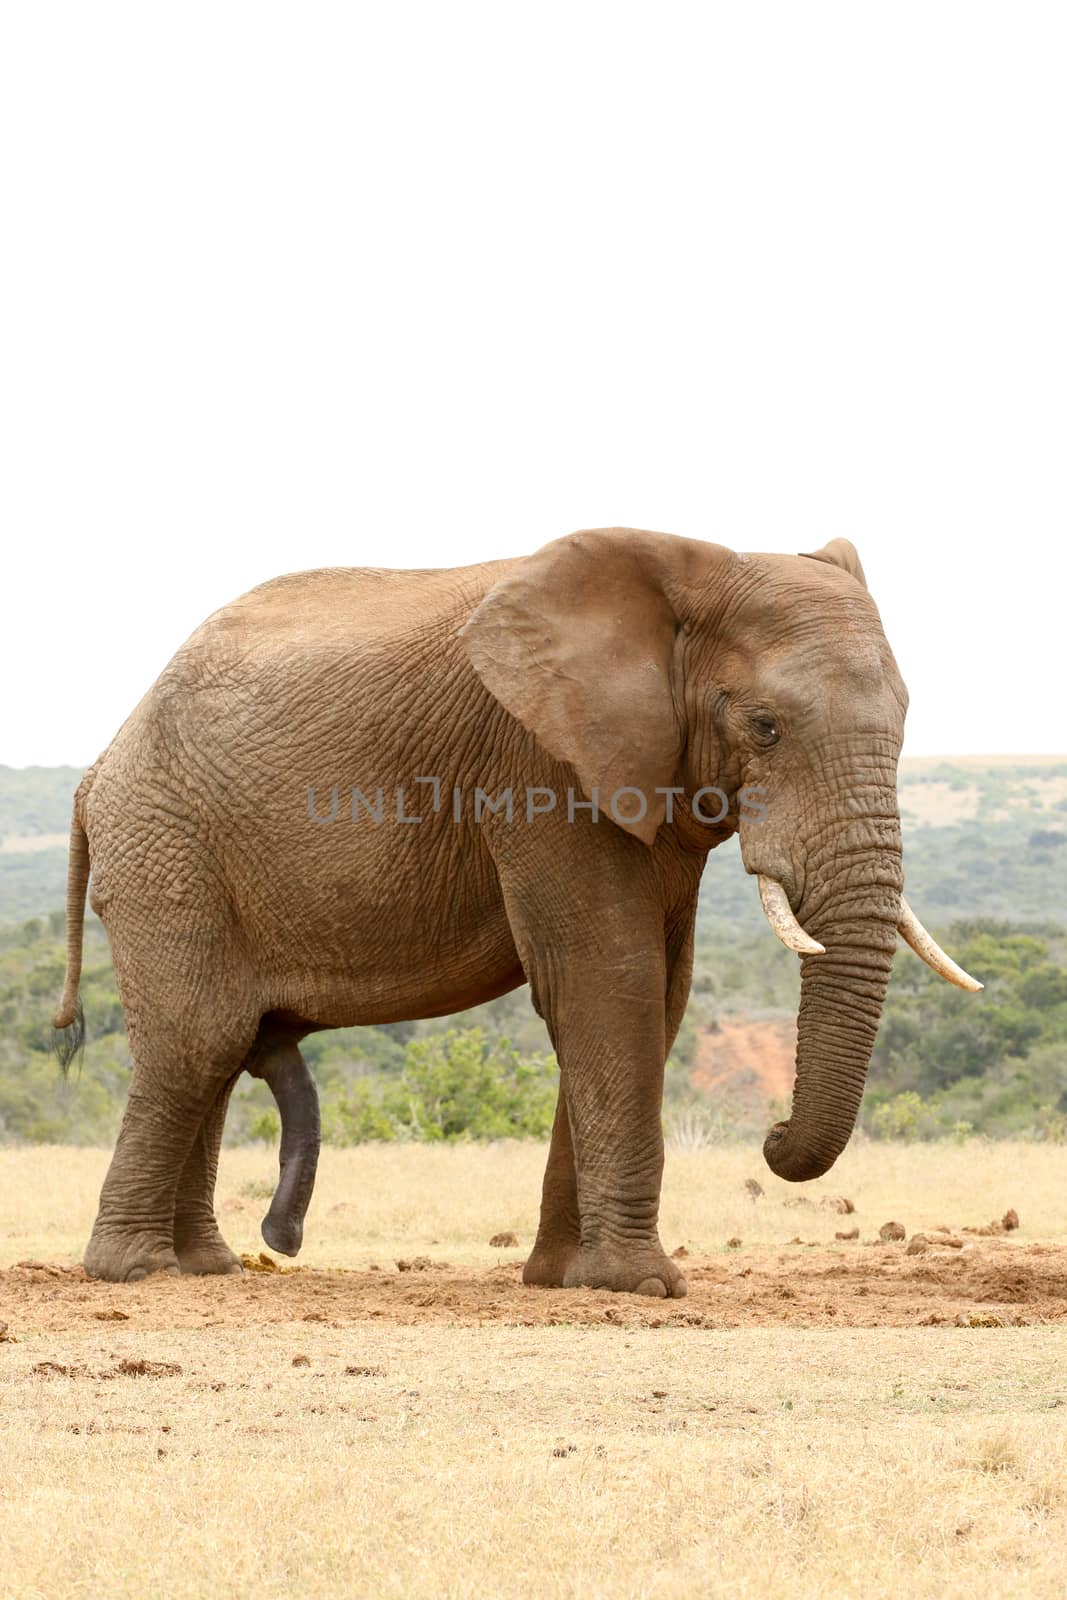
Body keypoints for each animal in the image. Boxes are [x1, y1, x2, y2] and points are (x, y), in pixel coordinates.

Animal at [54, 531, 979, 1292]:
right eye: (765, 726)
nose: (773, 1135)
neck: (688, 565)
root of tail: (96, 773)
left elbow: (656, 994)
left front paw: (562, 1280)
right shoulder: (537, 763)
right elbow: (609, 981)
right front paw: (638, 1286)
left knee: (219, 1047)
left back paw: (204, 1268)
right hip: (165, 848)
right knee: (198, 1040)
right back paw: (137, 1272)